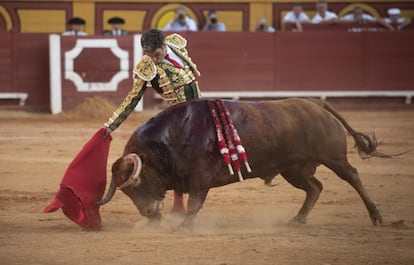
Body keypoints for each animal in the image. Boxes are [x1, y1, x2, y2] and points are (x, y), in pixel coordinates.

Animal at [98, 98, 386, 226]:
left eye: (137, 183)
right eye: (126, 191)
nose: (147, 212)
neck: (172, 137)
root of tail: (317, 104)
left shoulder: (200, 177)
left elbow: (194, 203)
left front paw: (183, 227)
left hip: (334, 157)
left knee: (353, 177)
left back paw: (377, 216)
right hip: (293, 169)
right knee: (315, 187)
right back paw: (297, 219)